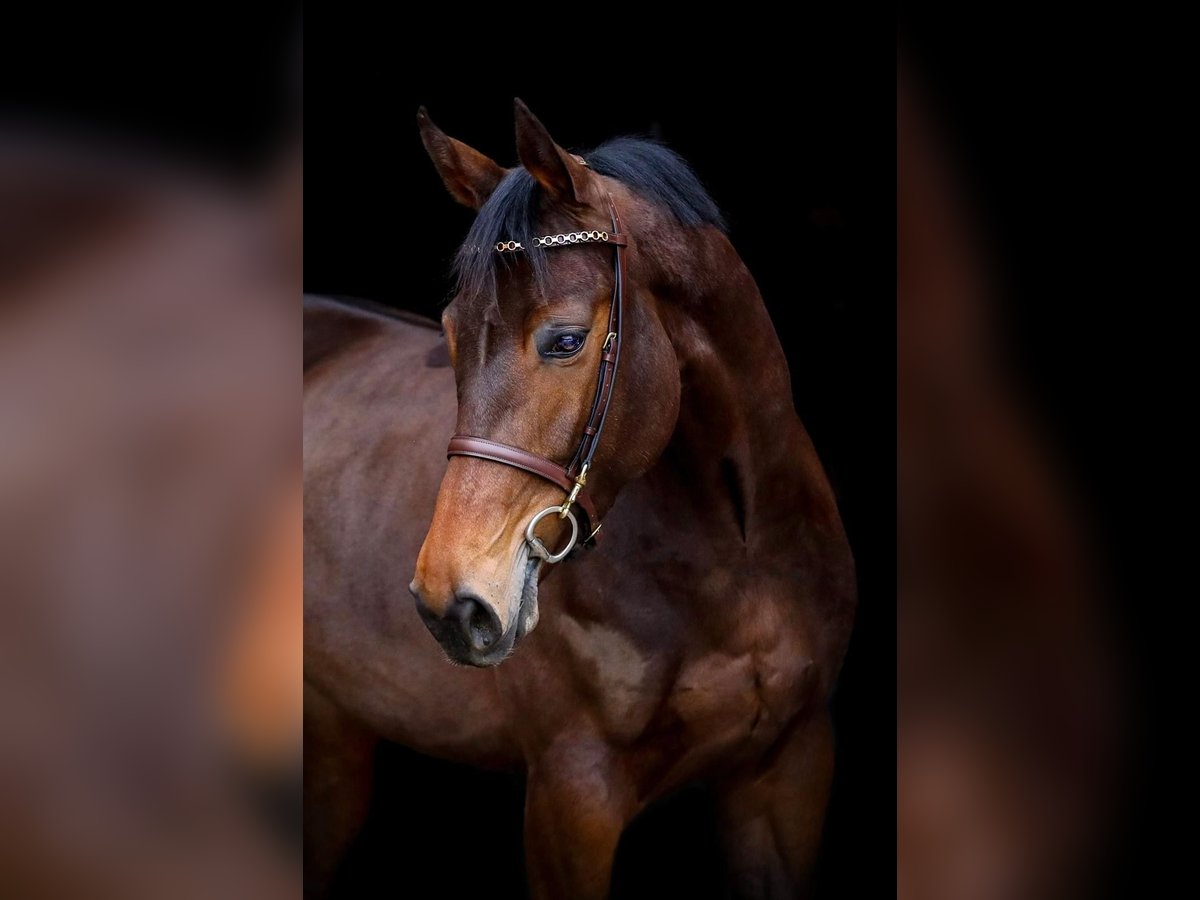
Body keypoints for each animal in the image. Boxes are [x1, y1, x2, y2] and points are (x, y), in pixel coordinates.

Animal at [303, 100, 856, 898]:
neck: (742, 557)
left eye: (564, 340)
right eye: (449, 335)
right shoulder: (573, 794)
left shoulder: (789, 770)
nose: (449, 603)